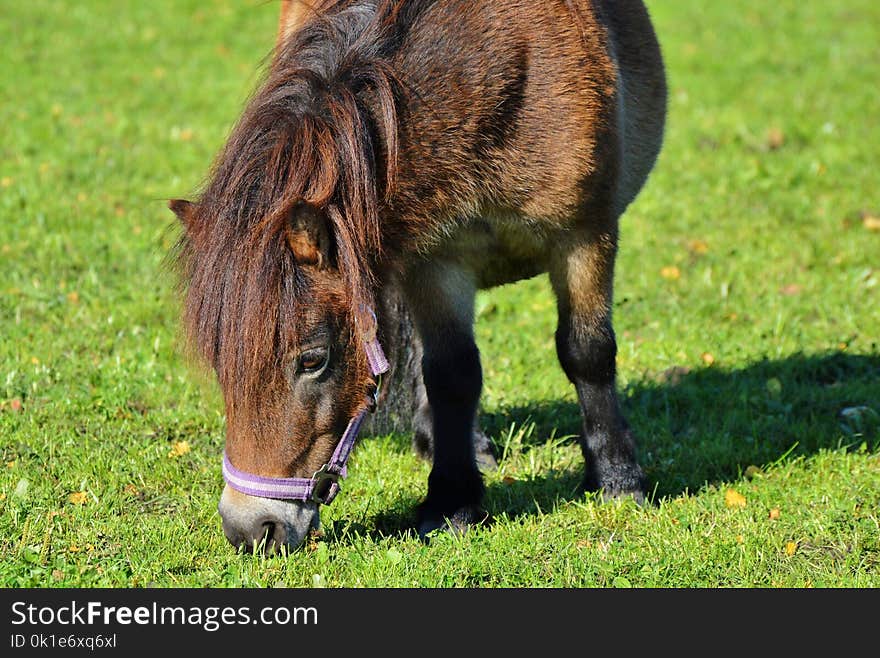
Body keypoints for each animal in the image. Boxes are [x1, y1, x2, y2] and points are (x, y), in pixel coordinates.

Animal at [170, 0, 668, 552]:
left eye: (314, 359)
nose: (250, 529)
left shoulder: (585, 236)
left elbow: (588, 352)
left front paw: (618, 479)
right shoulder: (435, 261)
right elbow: (450, 373)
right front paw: (452, 500)